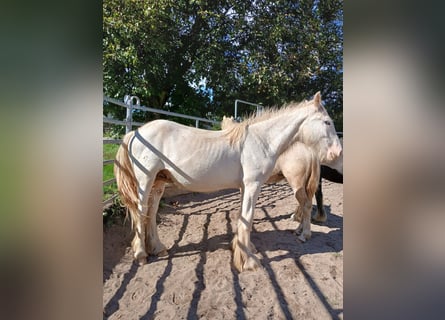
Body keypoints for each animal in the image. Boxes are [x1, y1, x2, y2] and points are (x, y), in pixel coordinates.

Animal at [113, 91, 340, 272]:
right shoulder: (252, 186)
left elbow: (242, 219)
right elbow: (247, 220)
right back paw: (141, 255)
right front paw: (248, 261)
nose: (337, 153)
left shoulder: (244, 187)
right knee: (141, 212)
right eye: (327, 122)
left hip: (159, 183)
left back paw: (158, 248)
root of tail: (135, 133)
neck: (261, 141)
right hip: (145, 182)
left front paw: (244, 250)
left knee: (151, 214)